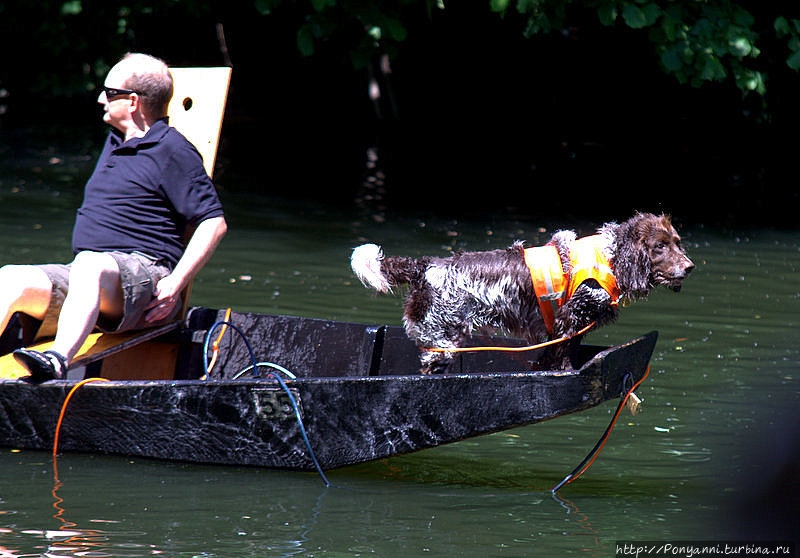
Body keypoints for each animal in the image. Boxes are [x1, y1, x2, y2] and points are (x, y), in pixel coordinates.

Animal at [350, 212, 692, 374]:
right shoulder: (569, 319)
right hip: (440, 340)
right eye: (660, 247)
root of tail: (424, 266)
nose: (689, 267)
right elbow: (562, 354)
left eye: (677, 242)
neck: (611, 255)